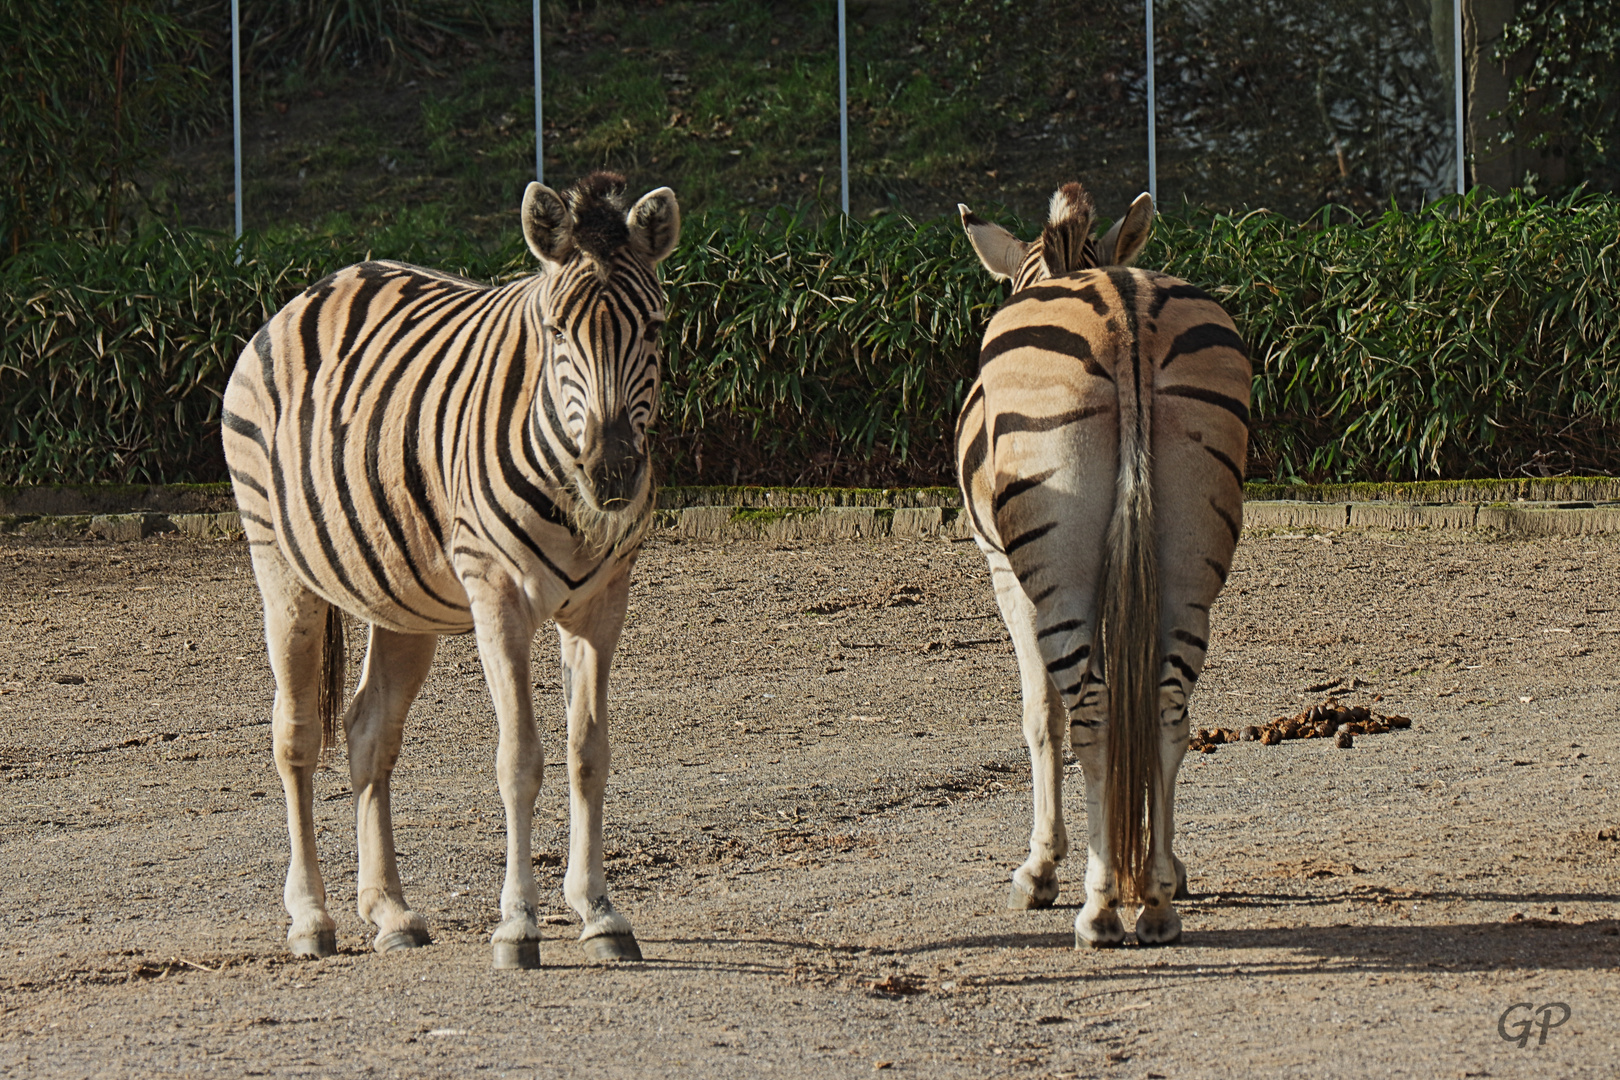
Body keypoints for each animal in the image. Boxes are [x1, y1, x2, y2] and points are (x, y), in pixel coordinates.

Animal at [220, 170, 677, 971]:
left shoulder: (603, 602)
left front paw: (600, 914)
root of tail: (320, 287)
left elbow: (588, 752)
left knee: (368, 730)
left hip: (400, 594)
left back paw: (391, 912)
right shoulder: (497, 593)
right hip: (280, 568)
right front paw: (517, 926)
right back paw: (311, 918)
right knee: (296, 734)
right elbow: (519, 759)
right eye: (557, 332)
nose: (613, 471)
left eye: (653, 328)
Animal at [952, 179, 1244, 945]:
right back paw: (1159, 901)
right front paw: (1167, 869)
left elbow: (1040, 715)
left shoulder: (1007, 576)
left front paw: (1040, 868)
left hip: (1055, 574)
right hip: (1188, 566)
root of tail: (1124, 312)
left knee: (1092, 716)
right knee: (1166, 709)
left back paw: (1102, 905)